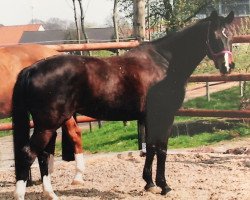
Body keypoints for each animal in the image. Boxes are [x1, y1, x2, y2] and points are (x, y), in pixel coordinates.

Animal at [11, 11, 234, 199]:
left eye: (230, 36)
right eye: (215, 37)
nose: (227, 66)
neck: (164, 63)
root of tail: (31, 69)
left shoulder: (149, 117)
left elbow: (151, 147)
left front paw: (149, 184)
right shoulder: (165, 115)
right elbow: (162, 148)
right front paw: (164, 186)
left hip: (48, 125)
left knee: (42, 155)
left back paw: (50, 193)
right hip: (48, 124)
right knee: (29, 154)